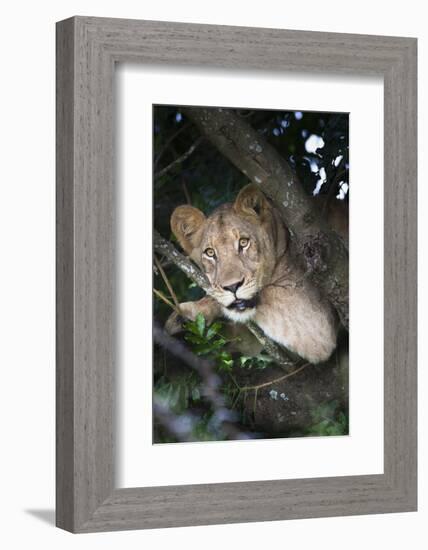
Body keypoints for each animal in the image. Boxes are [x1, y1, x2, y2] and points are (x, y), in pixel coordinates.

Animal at [166, 185, 338, 366]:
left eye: (243, 242)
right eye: (210, 252)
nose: (232, 287)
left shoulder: (315, 321)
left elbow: (265, 293)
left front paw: (191, 312)